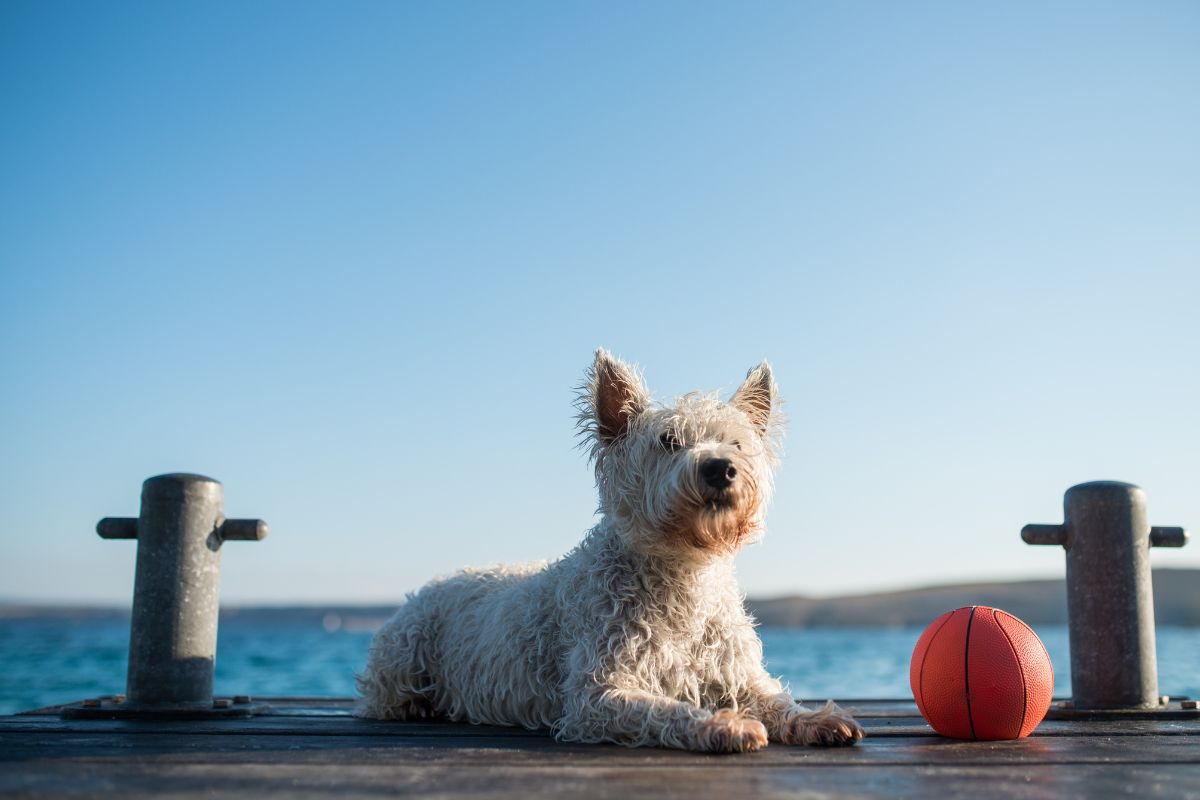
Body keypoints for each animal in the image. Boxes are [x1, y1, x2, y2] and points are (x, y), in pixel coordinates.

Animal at [355, 350, 864, 753]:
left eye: (736, 442)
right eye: (668, 441)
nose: (720, 468)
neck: (684, 571)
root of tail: (433, 584)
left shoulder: (737, 673)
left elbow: (775, 698)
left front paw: (818, 718)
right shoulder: (598, 693)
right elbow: (665, 711)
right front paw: (723, 725)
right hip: (404, 654)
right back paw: (414, 706)